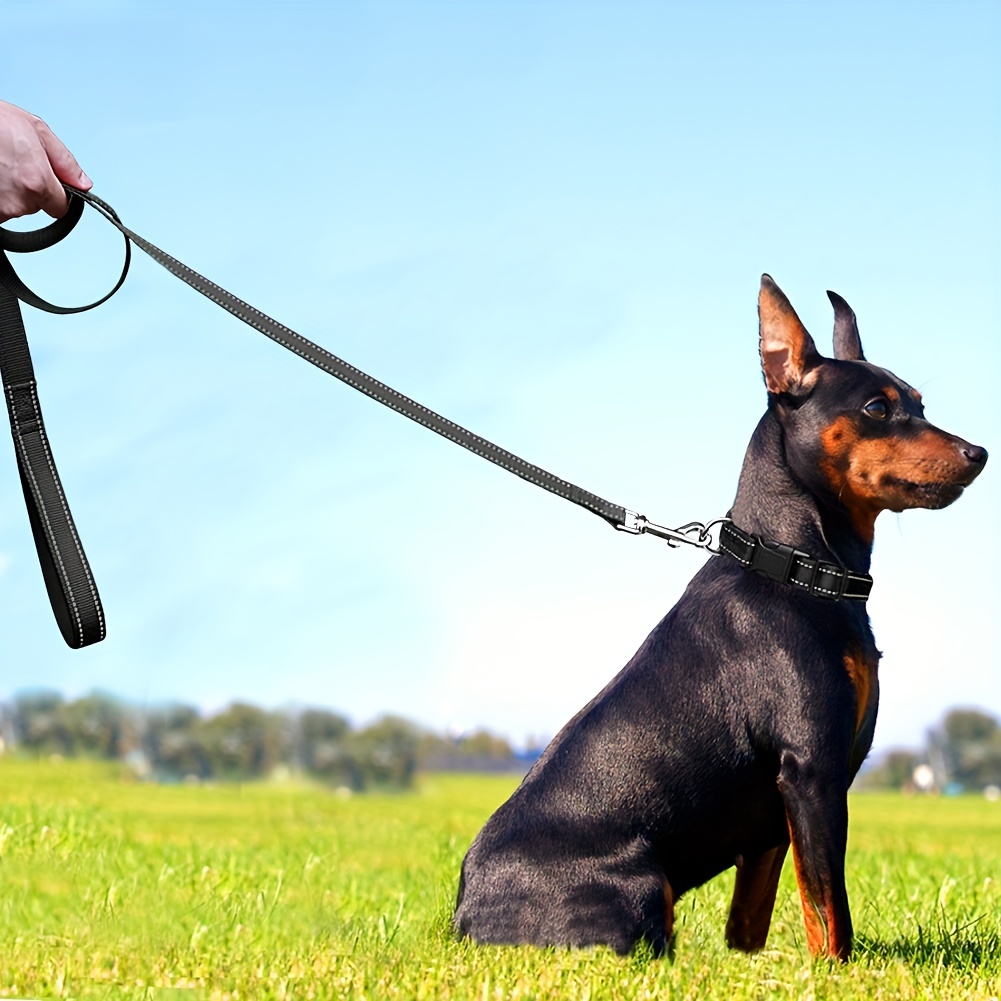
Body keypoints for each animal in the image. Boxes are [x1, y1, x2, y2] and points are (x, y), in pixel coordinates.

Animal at [452, 276, 984, 960]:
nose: (979, 453)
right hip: (643, 887)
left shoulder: (774, 817)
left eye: (919, 403)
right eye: (876, 408)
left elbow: (754, 919)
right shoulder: (811, 771)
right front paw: (840, 972)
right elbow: (830, 909)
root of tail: (464, 915)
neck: (792, 567)